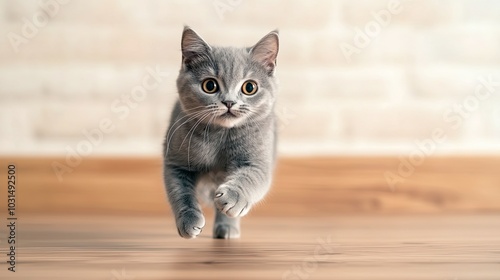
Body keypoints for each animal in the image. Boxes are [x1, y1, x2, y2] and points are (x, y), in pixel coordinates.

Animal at [165, 26, 280, 238]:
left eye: (249, 87)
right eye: (210, 85)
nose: (229, 102)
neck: (222, 136)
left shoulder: (258, 162)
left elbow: (251, 178)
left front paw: (232, 198)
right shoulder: (176, 162)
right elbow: (180, 193)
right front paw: (188, 221)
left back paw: (227, 227)